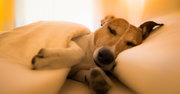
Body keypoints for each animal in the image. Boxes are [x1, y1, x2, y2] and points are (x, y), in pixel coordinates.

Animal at [31, 15, 164, 94]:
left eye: (131, 44)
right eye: (111, 29)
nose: (106, 56)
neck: (89, 57)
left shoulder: (73, 74)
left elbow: (85, 73)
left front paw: (98, 78)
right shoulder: (73, 41)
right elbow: (78, 52)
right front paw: (47, 59)